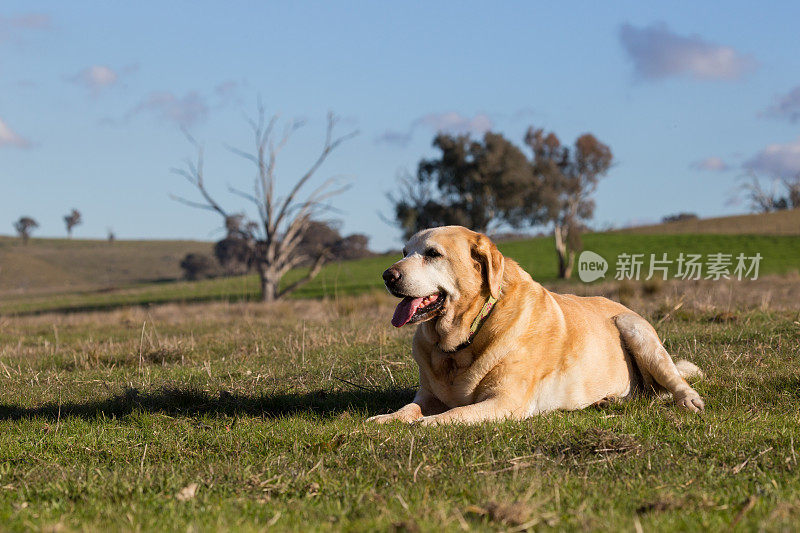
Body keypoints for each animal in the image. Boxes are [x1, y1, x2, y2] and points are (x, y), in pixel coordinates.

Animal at [366, 224, 704, 424]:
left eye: (433, 254)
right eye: (405, 252)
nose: (387, 275)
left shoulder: (504, 401)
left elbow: (454, 414)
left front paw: (424, 424)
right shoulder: (428, 395)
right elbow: (409, 408)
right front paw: (386, 419)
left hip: (634, 327)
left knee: (672, 383)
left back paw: (688, 400)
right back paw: (608, 400)